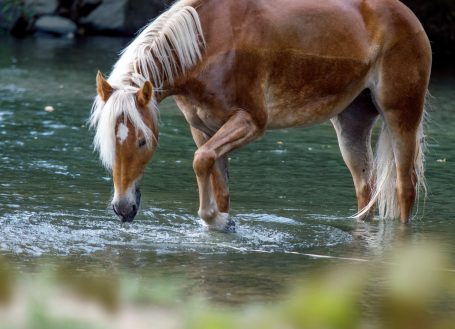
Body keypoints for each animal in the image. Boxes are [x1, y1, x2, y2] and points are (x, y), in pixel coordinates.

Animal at [91, 0, 432, 231]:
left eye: (142, 141)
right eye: (107, 141)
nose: (122, 208)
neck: (207, 43)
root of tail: (408, 16)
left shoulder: (250, 122)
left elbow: (200, 160)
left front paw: (214, 219)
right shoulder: (205, 130)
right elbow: (217, 182)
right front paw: (222, 223)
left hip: (402, 116)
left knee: (405, 189)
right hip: (351, 125)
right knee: (365, 190)